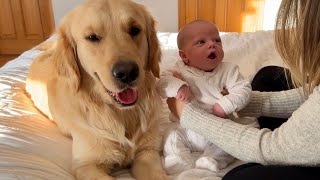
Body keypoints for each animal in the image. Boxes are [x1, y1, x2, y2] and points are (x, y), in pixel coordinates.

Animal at [26, 0, 169, 179]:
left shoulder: (147, 153)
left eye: (135, 30)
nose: (127, 73)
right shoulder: (86, 165)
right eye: (92, 37)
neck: (121, 114)